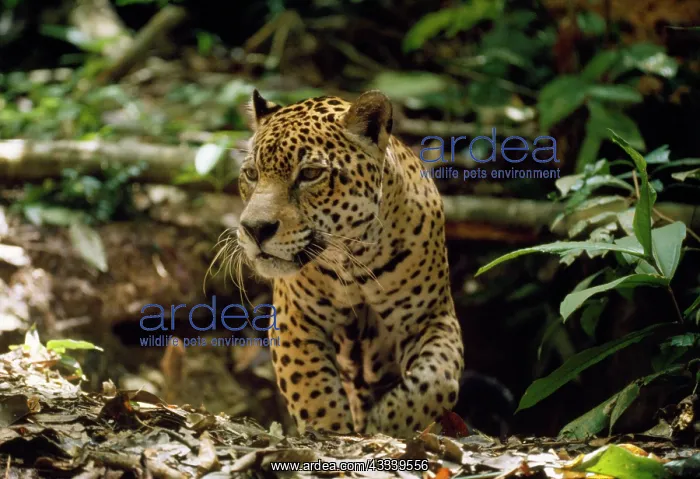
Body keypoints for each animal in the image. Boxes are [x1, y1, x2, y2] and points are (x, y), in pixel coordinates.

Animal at [233, 89, 464, 438]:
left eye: (310, 174)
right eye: (251, 174)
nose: (254, 228)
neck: (355, 260)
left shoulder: (431, 317)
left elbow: (437, 380)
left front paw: (388, 423)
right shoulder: (294, 317)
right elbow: (310, 384)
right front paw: (329, 428)